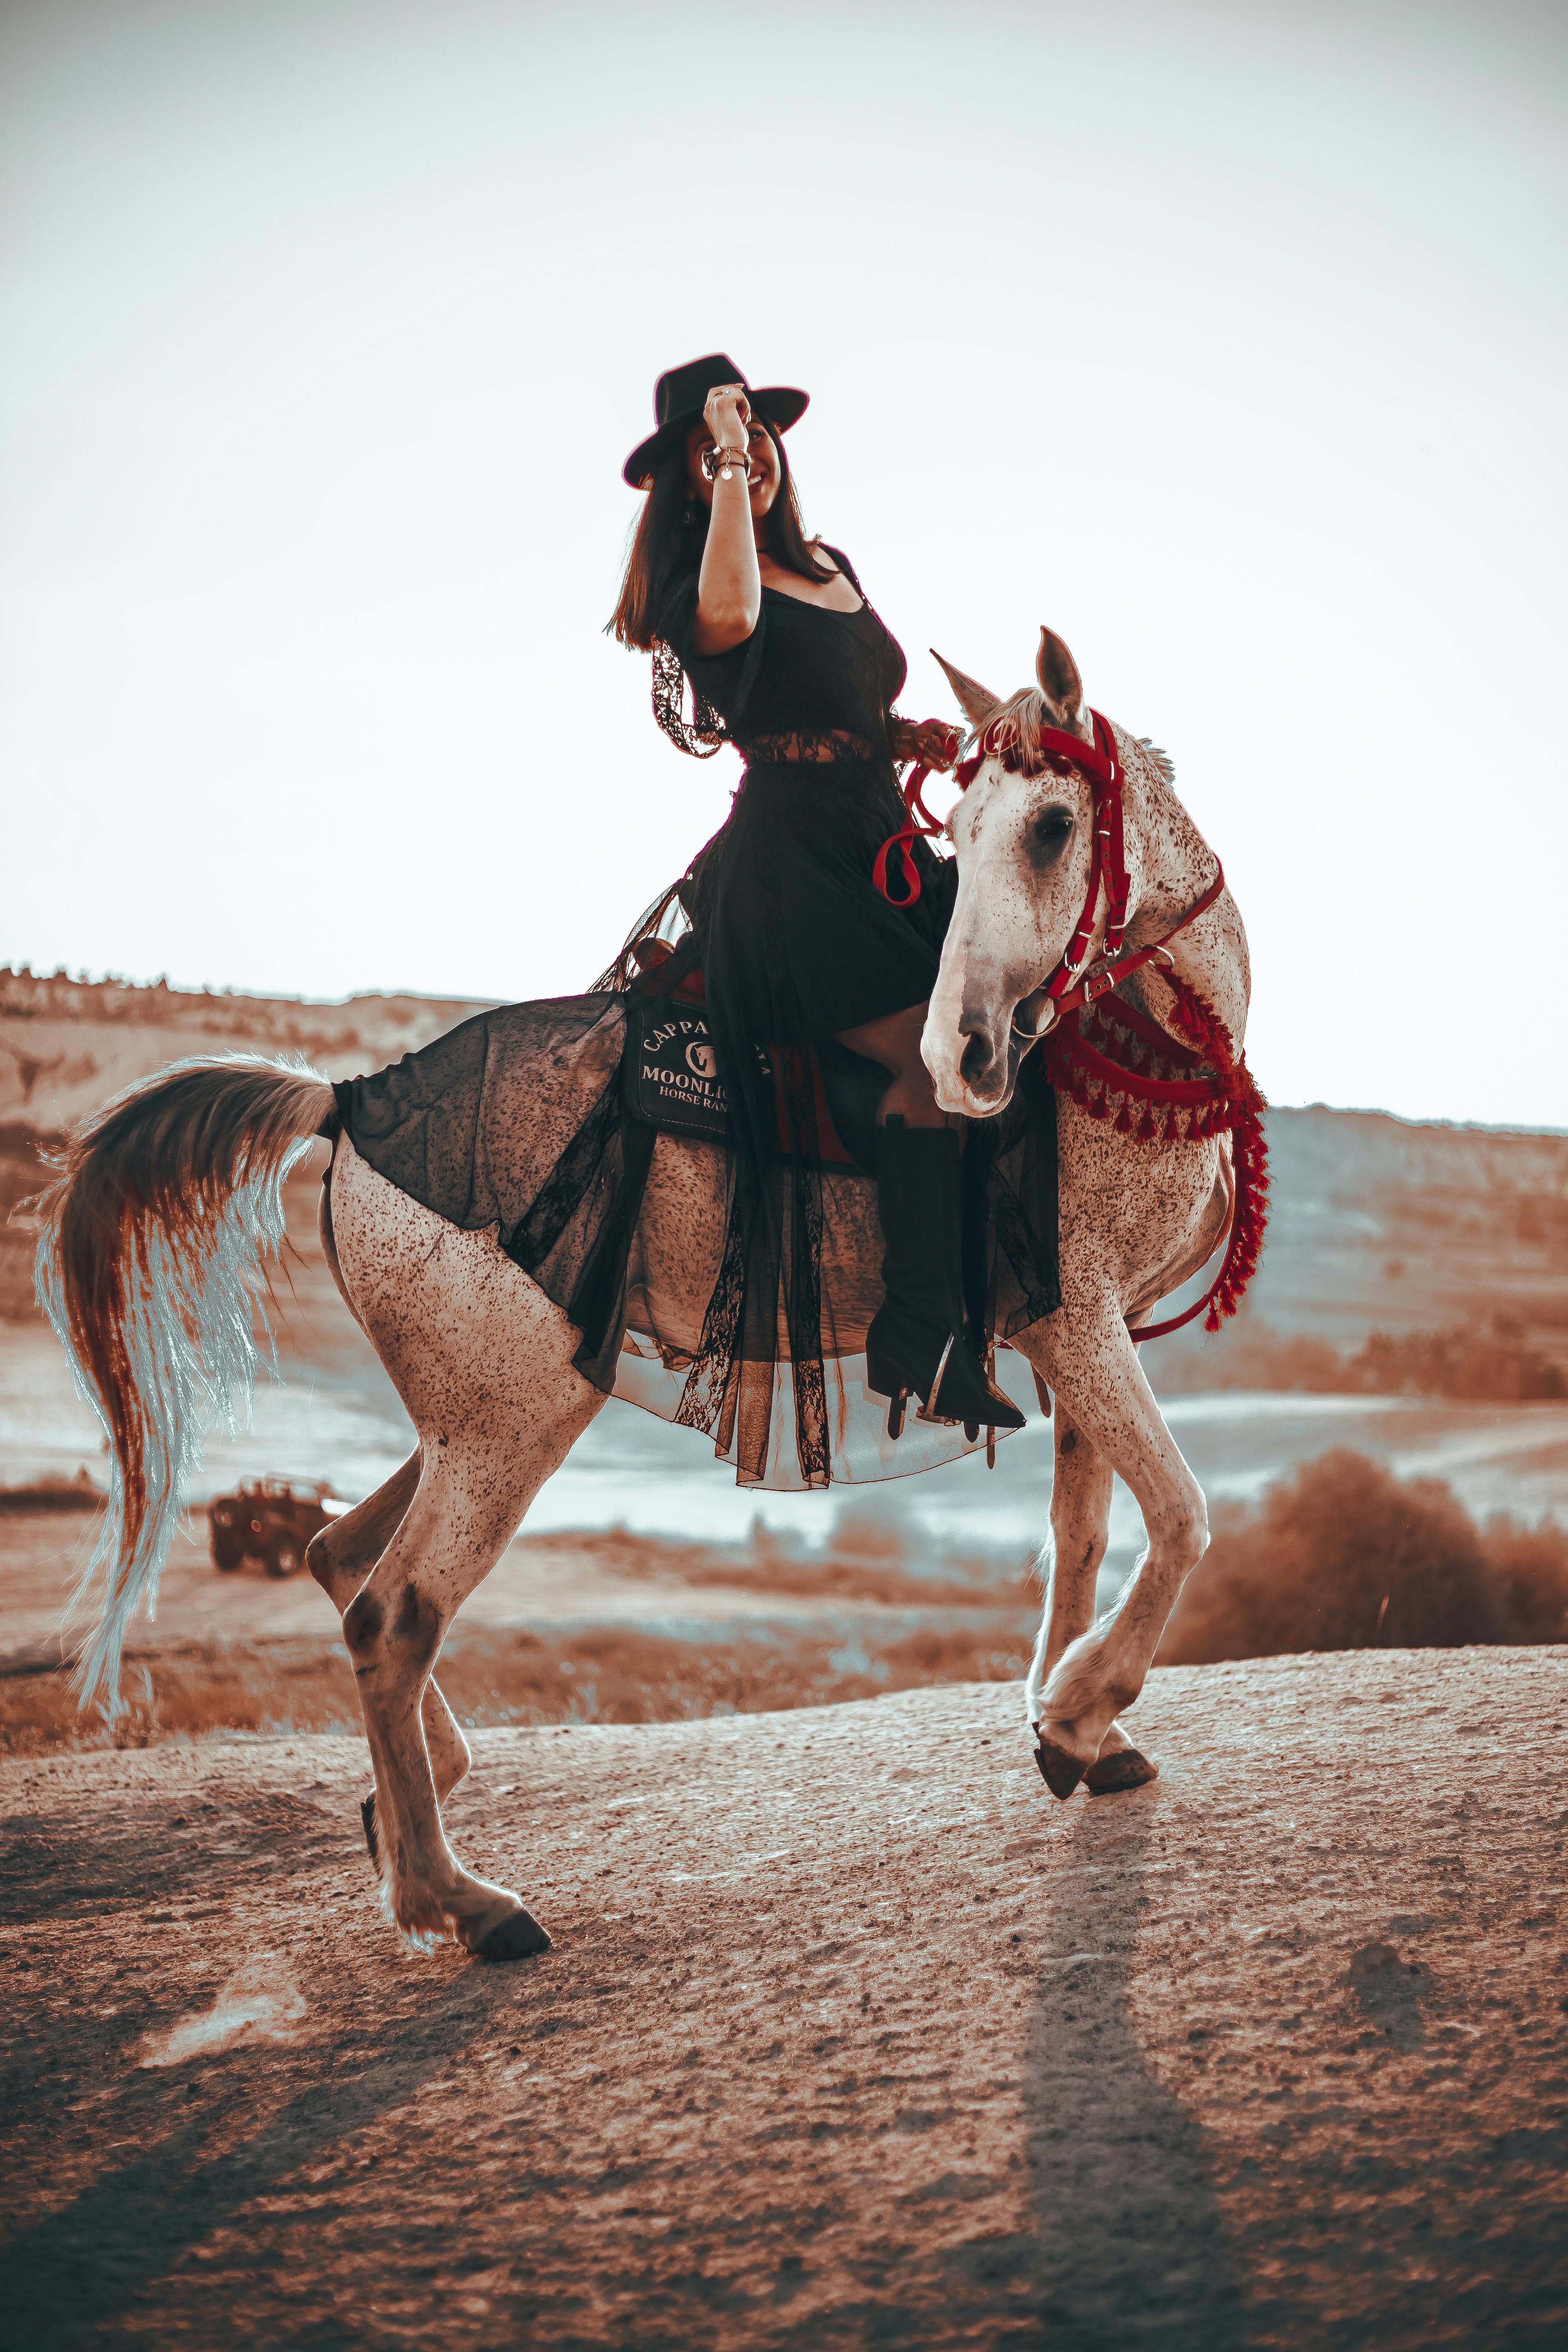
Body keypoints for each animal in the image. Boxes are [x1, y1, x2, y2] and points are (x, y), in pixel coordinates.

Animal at [34, 621, 1250, 1966]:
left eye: (1048, 825)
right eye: (969, 826)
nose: (966, 1055)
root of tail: (351, 1102)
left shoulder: (1087, 1326)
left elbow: (1080, 1531)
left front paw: (1076, 1727)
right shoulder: (1075, 1318)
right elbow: (1183, 1515)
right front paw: (1077, 1712)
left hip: (476, 1416)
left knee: (334, 1552)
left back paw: (411, 1808)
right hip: (511, 1425)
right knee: (394, 1613)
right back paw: (460, 1899)